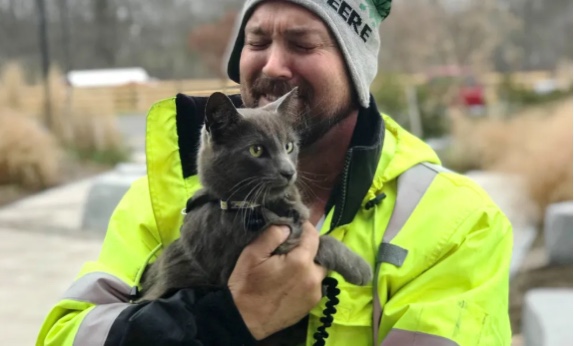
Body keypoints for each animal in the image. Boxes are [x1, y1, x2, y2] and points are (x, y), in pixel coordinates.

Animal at [140, 88, 374, 340]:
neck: (254, 207)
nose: (289, 171)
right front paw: (360, 268)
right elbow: (320, 240)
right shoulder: (236, 258)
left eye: (289, 146)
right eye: (256, 150)